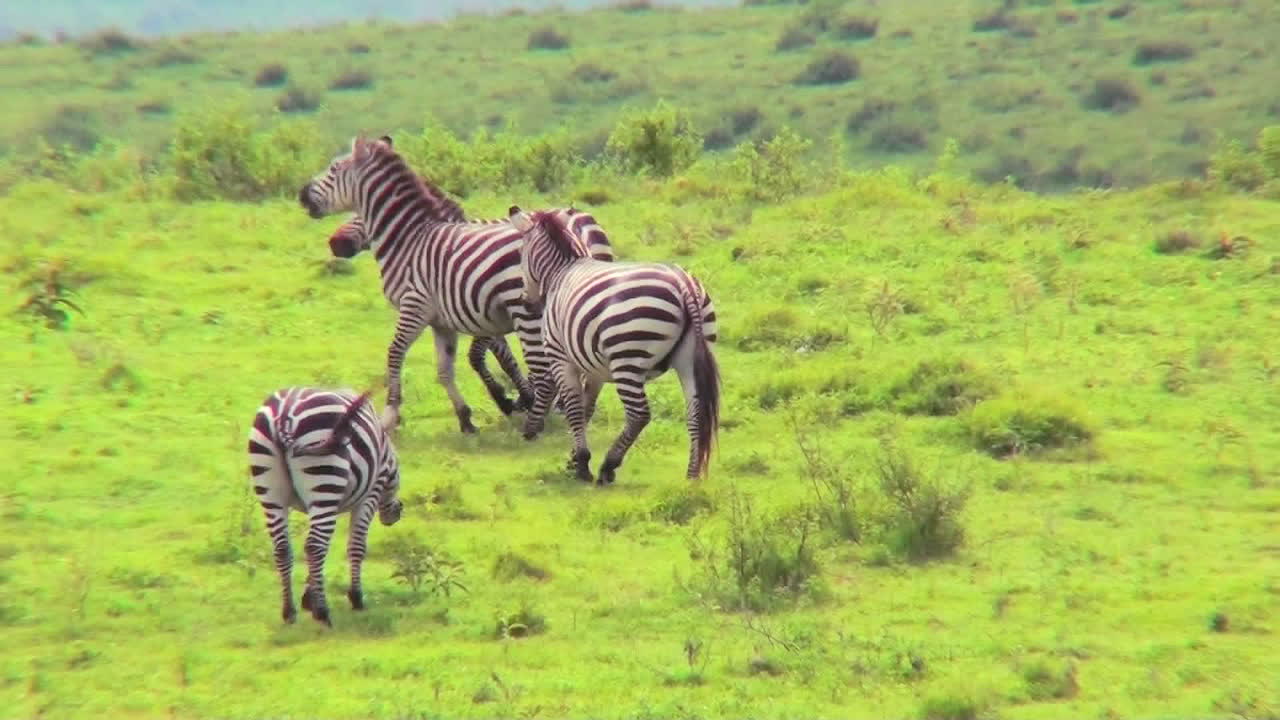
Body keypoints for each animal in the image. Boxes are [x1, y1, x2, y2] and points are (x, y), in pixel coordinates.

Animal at [246, 387, 403, 626]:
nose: (398, 512)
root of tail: (284, 417)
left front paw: (308, 598)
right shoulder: (370, 494)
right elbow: (356, 546)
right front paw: (356, 598)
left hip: (272, 491)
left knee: (284, 548)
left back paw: (289, 611)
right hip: (325, 477)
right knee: (314, 545)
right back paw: (322, 612)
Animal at [299, 135, 614, 434]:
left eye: (334, 169)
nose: (301, 195)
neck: (408, 239)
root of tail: (574, 225)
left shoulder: (416, 306)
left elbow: (397, 353)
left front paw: (390, 416)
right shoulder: (445, 320)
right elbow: (446, 369)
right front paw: (467, 417)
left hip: (528, 311)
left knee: (545, 367)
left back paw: (544, 418)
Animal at [506, 206, 722, 485]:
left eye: (521, 255)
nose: (527, 303)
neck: (561, 272)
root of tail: (683, 285)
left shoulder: (559, 356)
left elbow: (574, 408)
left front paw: (582, 464)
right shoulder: (593, 367)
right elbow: (586, 409)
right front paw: (574, 459)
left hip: (627, 357)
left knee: (639, 414)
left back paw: (608, 466)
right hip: (691, 358)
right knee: (695, 412)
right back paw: (691, 476)